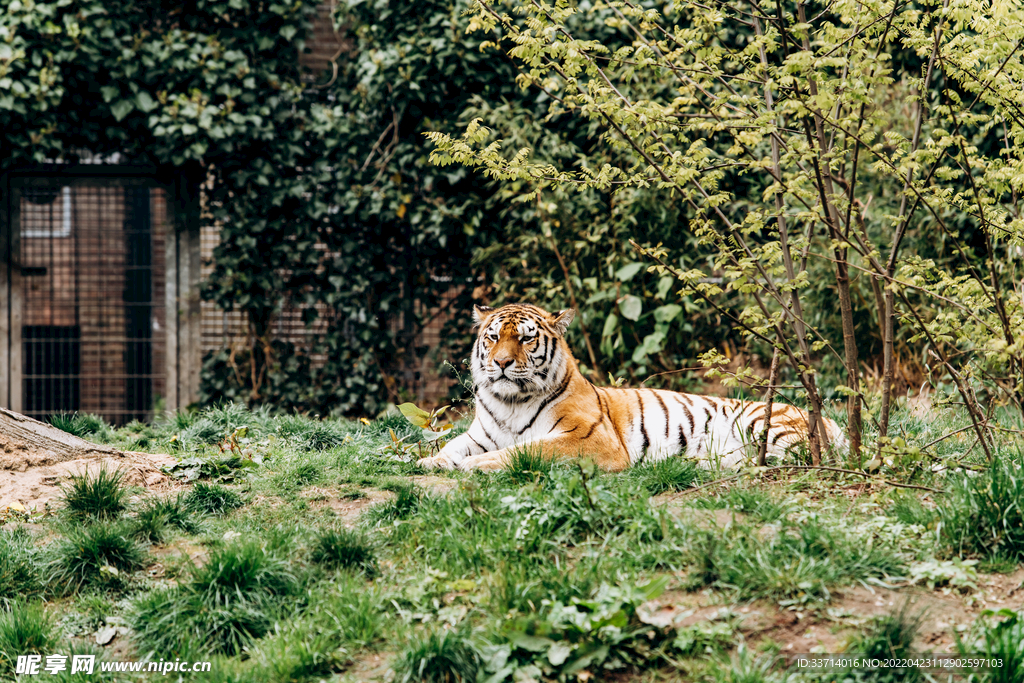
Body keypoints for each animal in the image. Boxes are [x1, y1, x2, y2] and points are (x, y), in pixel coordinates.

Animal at [416, 303, 846, 472]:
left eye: (524, 339)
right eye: (492, 338)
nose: (502, 363)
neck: (510, 401)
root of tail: (833, 423)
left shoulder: (588, 438)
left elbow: (525, 450)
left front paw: (473, 467)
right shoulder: (481, 434)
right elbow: (451, 446)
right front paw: (429, 463)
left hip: (764, 426)